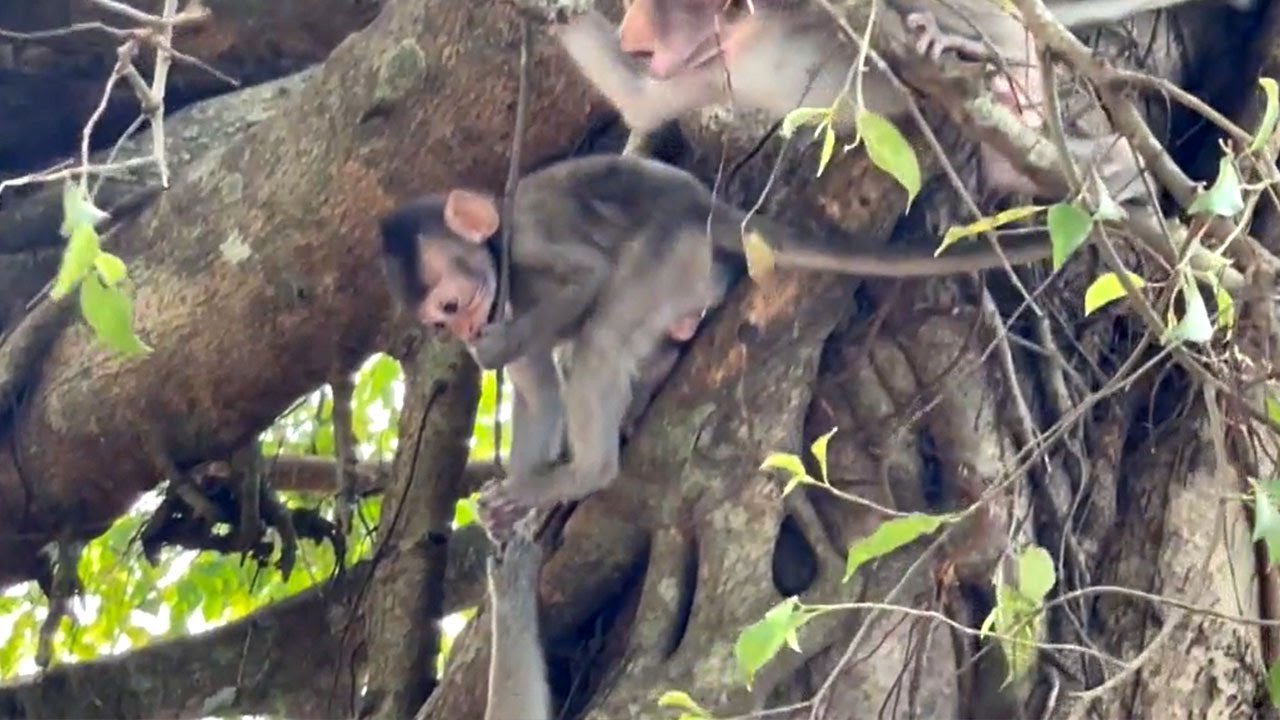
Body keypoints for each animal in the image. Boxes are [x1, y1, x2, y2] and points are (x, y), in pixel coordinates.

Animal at [379, 153, 1057, 533]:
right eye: (442, 323)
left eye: (451, 306)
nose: (466, 333)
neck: (499, 253)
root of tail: (701, 207)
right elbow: (540, 391)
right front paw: (521, 497)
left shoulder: (529, 236)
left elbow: (587, 279)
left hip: (669, 257)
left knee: (601, 339)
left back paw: (588, 472)